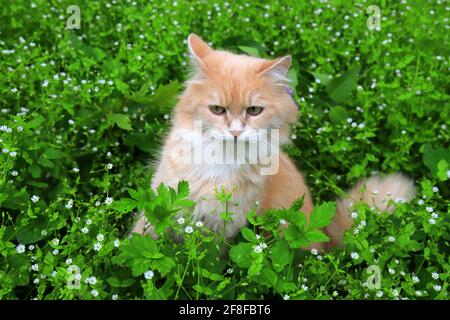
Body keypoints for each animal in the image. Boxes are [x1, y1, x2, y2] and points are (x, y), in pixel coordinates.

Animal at [132, 33, 416, 248]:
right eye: (218, 110)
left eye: (254, 111)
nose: (235, 132)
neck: (221, 160)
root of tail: (326, 243)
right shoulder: (160, 204)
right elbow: (139, 237)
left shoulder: (223, 226)